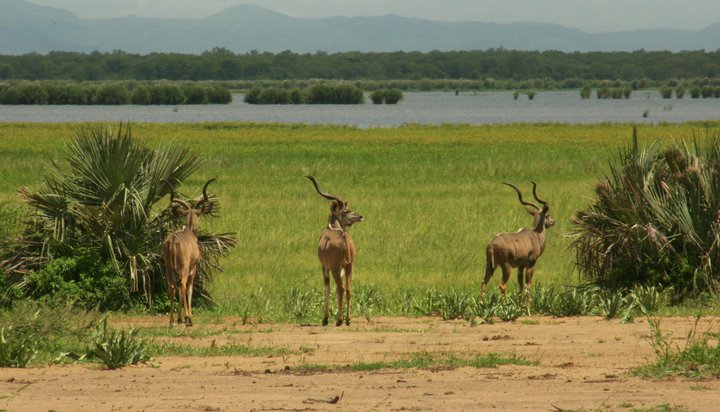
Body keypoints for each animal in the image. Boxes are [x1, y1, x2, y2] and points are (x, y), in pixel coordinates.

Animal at [159, 179, 212, 326]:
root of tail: (172, 240)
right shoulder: (193, 268)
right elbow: (189, 289)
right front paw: (187, 318)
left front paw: (179, 318)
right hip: (184, 268)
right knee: (183, 285)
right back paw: (188, 320)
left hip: (169, 268)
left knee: (172, 286)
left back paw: (171, 321)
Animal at [306, 175, 362, 326]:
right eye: (346, 211)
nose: (360, 216)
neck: (334, 228)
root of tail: (344, 239)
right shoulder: (344, 267)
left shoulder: (325, 266)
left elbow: (327, 288)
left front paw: (325, 319)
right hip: (350, 267)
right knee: (348, 288)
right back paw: (348, 320)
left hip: (336, 268)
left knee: (340, 287)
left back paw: (339, 320)